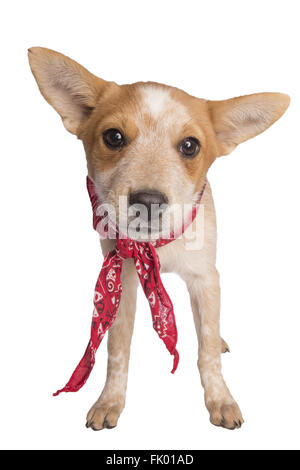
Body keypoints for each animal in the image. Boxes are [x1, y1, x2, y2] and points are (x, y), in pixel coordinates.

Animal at [28, 46, 290, 430]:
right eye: (113, 137)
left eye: (190, 145)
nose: (148, 202)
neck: (155, 248)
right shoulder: (122, 276)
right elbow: (117, 348)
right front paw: (110, 400)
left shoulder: (205, 278)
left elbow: (207, 349)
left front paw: (220, 399)